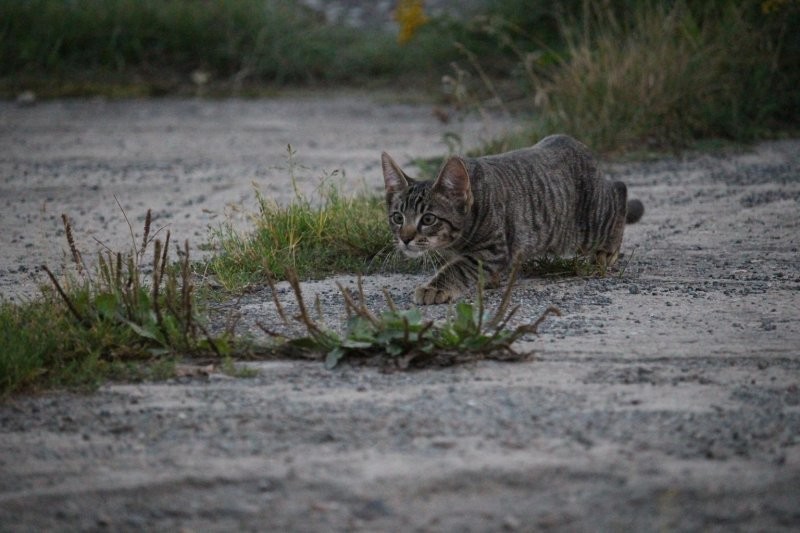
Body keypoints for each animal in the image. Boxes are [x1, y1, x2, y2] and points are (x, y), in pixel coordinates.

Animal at [380, 133, 644, 304]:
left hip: (586, 228)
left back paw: (607, 251)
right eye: (397, 217)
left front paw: (434, 287)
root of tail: (575, 143)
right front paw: (489, 280)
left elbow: (459, 267)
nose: (405, 239)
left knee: (619, 191)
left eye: (428, 219)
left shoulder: (494, 249)